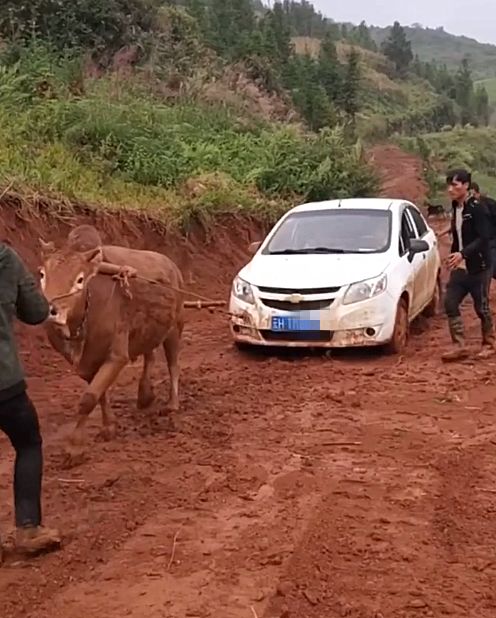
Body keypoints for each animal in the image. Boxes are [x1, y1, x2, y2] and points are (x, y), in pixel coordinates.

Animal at [38, 233, 185, 464]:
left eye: (80, 279)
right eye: (42, 274)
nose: (51, 310)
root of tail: (171, 265)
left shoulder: (117, 356)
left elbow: (88, 399)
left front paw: (74, 449)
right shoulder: (85, 363)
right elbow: (100, 394)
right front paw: (109, 427)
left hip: (174, 328)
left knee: (173, 365)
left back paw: (172, 404)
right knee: (150, 356)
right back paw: (145, 395)